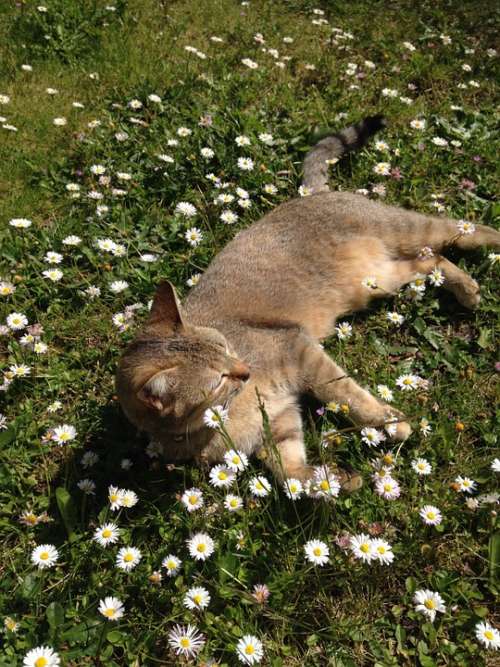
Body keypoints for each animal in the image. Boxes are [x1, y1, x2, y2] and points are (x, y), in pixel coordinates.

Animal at [115, 116, 498, 490]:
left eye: (225, 347)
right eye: (218, 379)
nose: (246, 369)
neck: (223, 417)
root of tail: (311, 194)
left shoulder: (299, 351)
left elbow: (345, 393)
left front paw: (390, 423)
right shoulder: (277, 422)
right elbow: (290, 474)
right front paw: (335, 481)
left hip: (407, 229)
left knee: (467, 230)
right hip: (379, 280)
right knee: (430, 260)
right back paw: (467, 289)